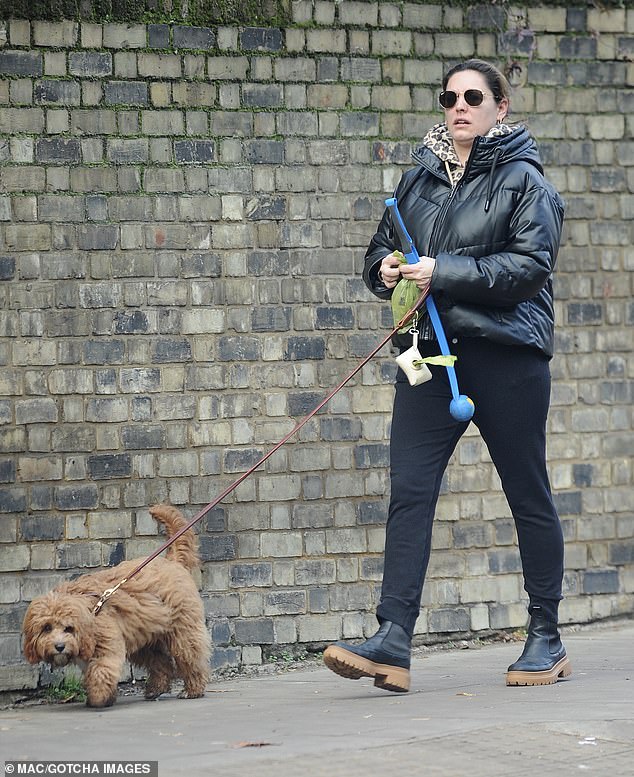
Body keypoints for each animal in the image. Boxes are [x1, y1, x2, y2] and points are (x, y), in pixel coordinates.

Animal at [22, 504, 210, 708]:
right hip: (145, 639)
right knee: (161, 662)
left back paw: (192, 689)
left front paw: (98, 698)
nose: (59, 646)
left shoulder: (106, 648)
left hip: (183, 631)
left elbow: (101, 671)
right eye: (47, 628)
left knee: (190, 657)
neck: (91, 612)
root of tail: (171, 561)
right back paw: (155, 688)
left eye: (68, 628)